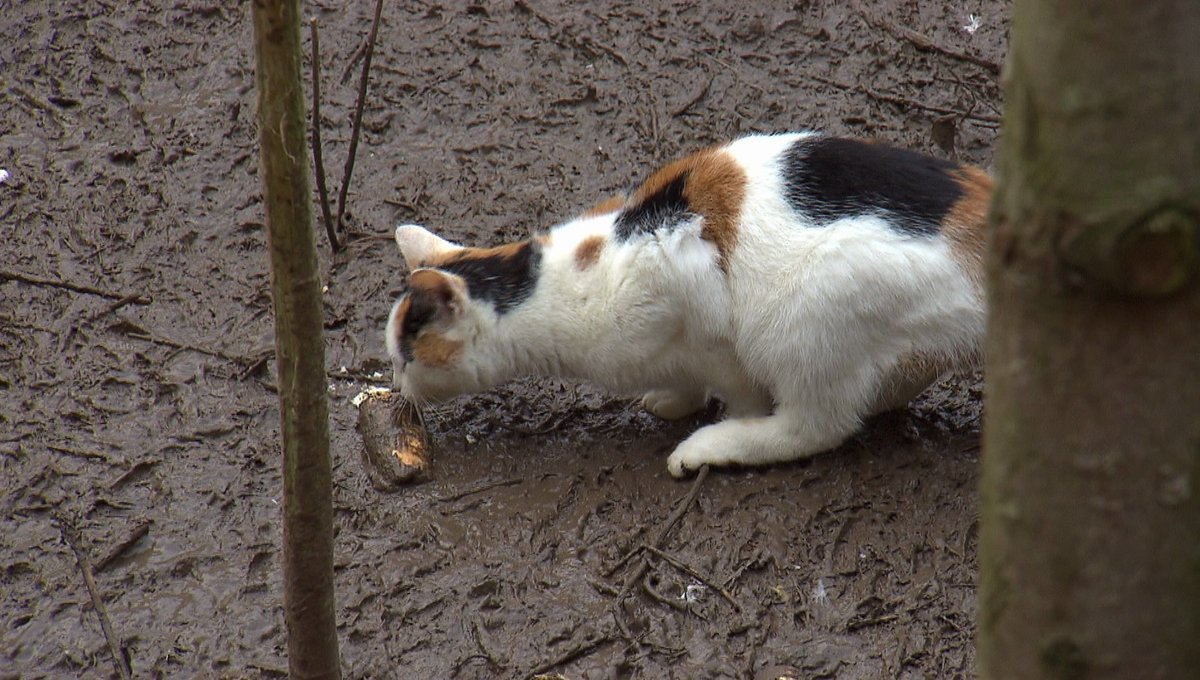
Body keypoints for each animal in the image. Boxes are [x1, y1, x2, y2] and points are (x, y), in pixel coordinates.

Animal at [381, 130, 984, 477]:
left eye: (405, 358)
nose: (397, 385)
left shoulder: (698, 314)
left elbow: (738, 390)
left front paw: (710, 415)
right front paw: (670, 399)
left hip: (805, 317)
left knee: (816, 426)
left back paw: (710, 447)